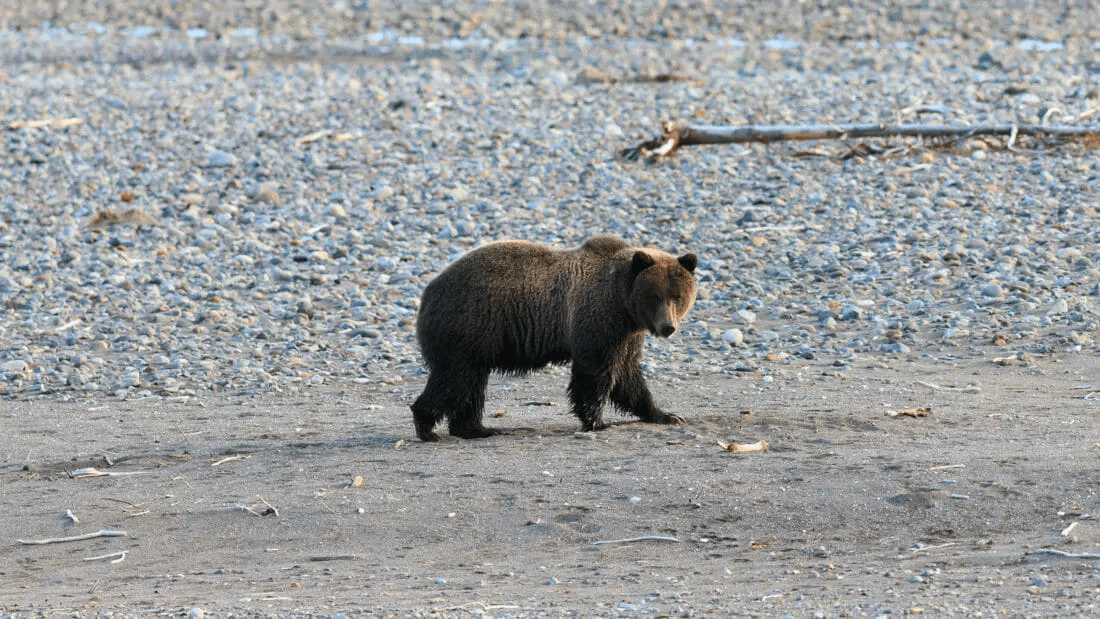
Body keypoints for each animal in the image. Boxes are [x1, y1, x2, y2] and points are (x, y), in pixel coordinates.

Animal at [410, 234, 698, 441]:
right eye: (655, 295)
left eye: (678, 296)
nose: (667, 327)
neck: (623, 303)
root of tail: (429, 291)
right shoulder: (598, 318)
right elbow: (595, 371)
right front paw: (597, 421)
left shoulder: (627, 334)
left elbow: (628, 377)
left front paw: (666, 415)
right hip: (469, 325)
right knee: (454, 379)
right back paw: (428, 428)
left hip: (477, 341)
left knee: (471, 385)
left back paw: (477, 429)